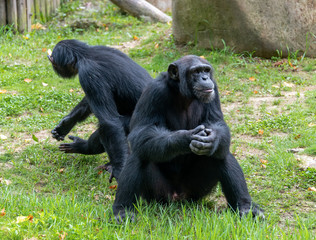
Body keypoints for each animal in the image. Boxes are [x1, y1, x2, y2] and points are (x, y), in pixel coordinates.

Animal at [47, 39, 154, 182]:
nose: (53, 66)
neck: (84, 55)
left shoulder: (89, 75)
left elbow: (109, 122)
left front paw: (119, 169)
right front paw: (66, 123)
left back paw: (85, 147)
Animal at [112, 54, 262, 221]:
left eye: (206, 70)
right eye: (195, 72)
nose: (204, 78)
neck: (183, 95)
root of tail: (178, 197)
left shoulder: (214, 89)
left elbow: (217, 123)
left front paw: (213, 139)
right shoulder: (153, 91)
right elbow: (142, 130)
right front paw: (185, 138)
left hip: (196, 190)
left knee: (221, 154)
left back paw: (246, 207)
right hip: (159, 194)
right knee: (141, 152)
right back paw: (122, 210)